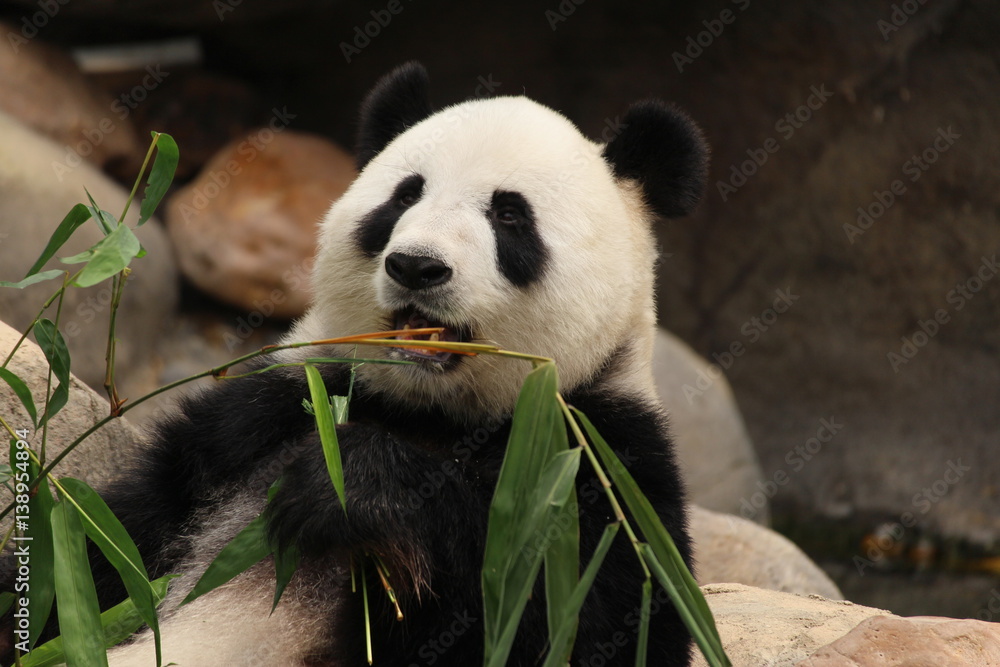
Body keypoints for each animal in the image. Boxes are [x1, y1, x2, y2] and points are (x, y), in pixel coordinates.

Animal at [15, 62, 708, 666]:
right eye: (404, 197)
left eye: (510, 214)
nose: (417, 265)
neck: (428, 409)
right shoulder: (268, 408)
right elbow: (117, 534)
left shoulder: (598, 452)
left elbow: (586, 619)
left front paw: (354, 485)